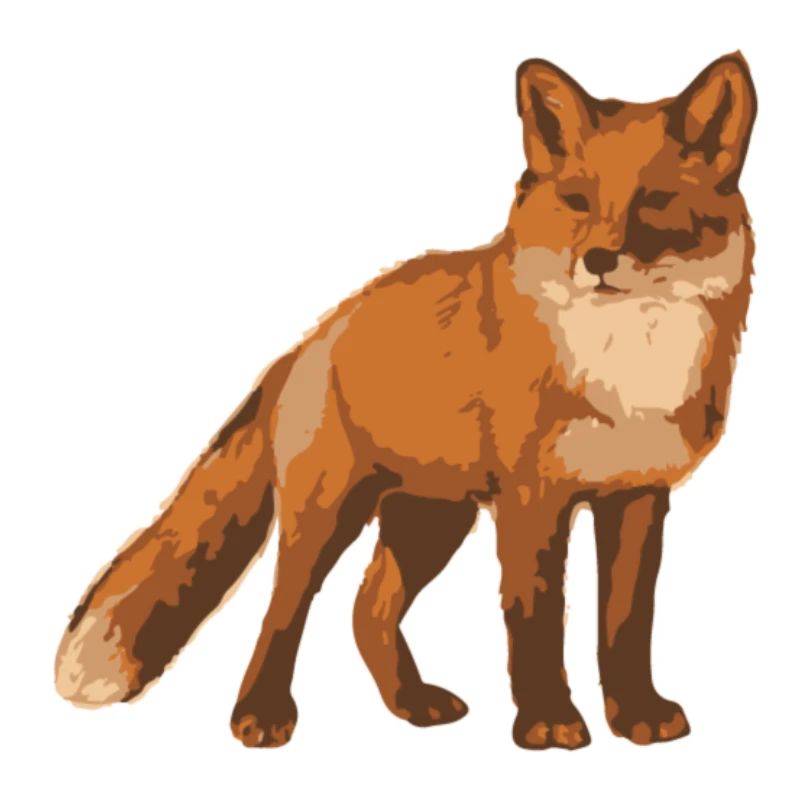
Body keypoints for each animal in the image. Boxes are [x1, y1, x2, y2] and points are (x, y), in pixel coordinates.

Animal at [55, 52, 756, 750]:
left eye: (656, 201)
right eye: (577, 200)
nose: (600, 259)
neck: (625, 371)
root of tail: (309, 340)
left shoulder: (637, 496)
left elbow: (627, 623)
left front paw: (637, 713)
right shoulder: (532, 500)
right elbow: (535, 618)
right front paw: (547, 721)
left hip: (430, 520)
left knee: (369, 608)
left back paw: (411, 703)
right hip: (328, 514)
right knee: (284, 609)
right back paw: (261, 713)